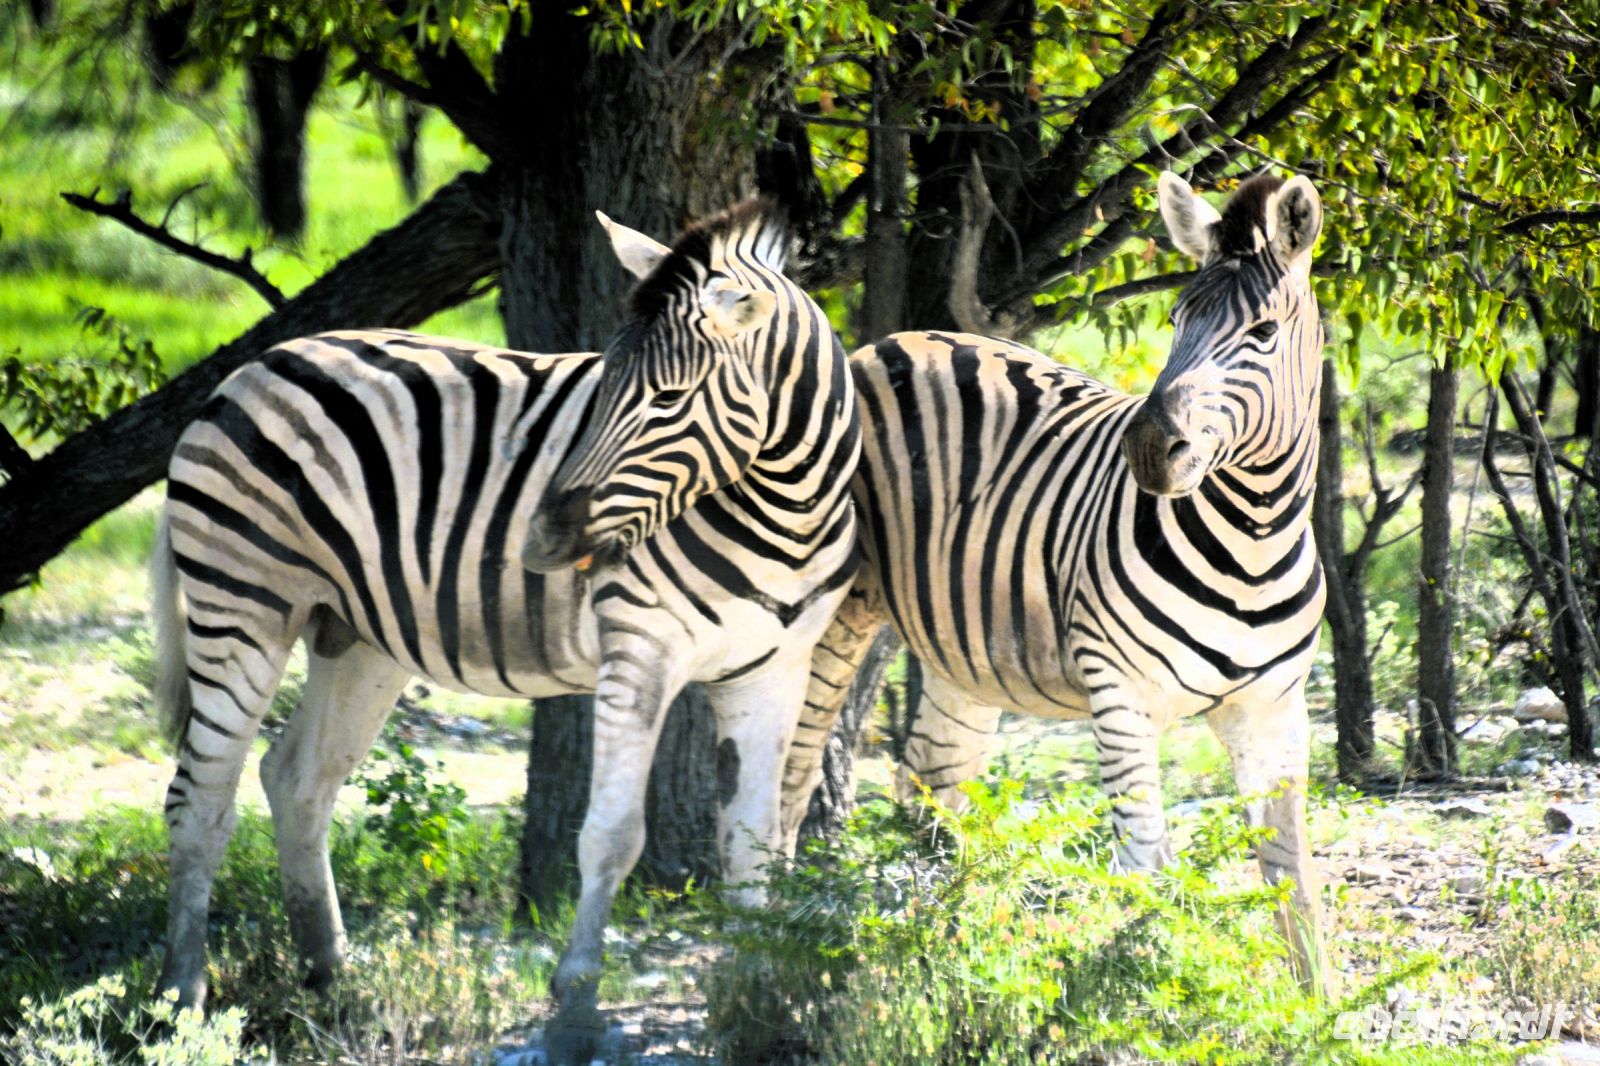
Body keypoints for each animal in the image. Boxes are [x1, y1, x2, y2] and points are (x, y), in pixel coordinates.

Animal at [149, 197, 860, 1054]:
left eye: (668, 400)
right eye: (601, 386)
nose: (541, 541)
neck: (786, 507)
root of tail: (249, 370)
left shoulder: (772, 671)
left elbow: (753, 841)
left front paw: (759, 1000)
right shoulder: (641, 652)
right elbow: (613, 835)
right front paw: (577, 1005)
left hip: (356, 636)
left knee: (297, 780)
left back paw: (330, 976)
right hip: (243, 605)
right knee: (200, 799)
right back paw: (182, 1001)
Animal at [782, 172, 1330, 989]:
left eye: (1263, 333)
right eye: (1175, 319)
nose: (1149, 448)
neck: (1252, 545)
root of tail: (893, 340)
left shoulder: (1273, 707)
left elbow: (1290, 870)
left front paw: (1315, 1002)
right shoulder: (1121, 693)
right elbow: (1147, 860)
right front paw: (1147, 985)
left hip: (964, 648)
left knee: (931, 783)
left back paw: (951, 956)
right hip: (838, 608)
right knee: (789, 771)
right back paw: (765, 925)